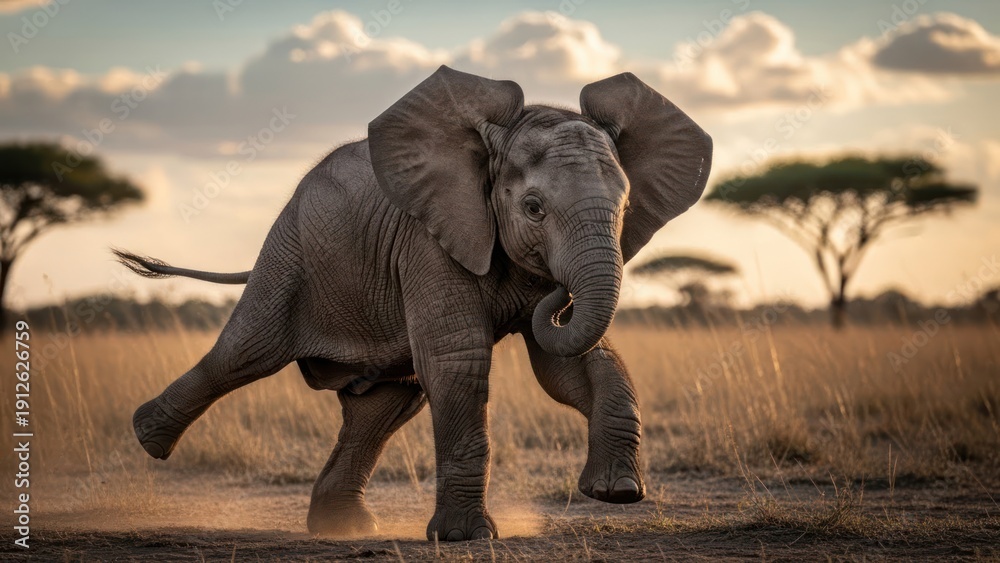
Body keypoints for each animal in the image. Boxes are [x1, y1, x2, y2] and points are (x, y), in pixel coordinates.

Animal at [117, 65, 712, 541]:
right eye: (533, 208)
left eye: (625, 208)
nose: (557, 293)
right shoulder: (429, 239)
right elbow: (459, 360)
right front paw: (467, 538)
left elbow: (569, 364)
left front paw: (617, 492)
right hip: (288, 255)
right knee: (246, 353)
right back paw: (147, 437)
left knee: (385, 403)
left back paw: (345, 529)